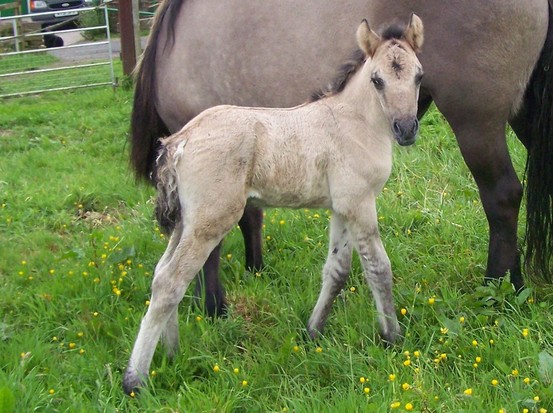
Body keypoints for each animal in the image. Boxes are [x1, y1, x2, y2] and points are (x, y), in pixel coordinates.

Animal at [124, 14, 422, 392]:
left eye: (418, 76)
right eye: (377, 80)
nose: (406, 129)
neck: (354, 120)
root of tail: (180, 140)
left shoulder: (341, 206)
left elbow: (337, 270)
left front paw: (313, 331)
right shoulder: (359, 202)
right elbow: (378, 268)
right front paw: (392, 337)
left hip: (186, 222)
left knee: (161, 273)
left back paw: (172, 352)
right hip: (210, 221)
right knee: (171, 281)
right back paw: (134, 379)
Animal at [132, 0, 552, 316]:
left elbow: (212, 244)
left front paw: (213, 306)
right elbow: (251, 215)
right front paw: (255, 271)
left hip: (476, 123)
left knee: (502, 196)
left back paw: (497, 287)